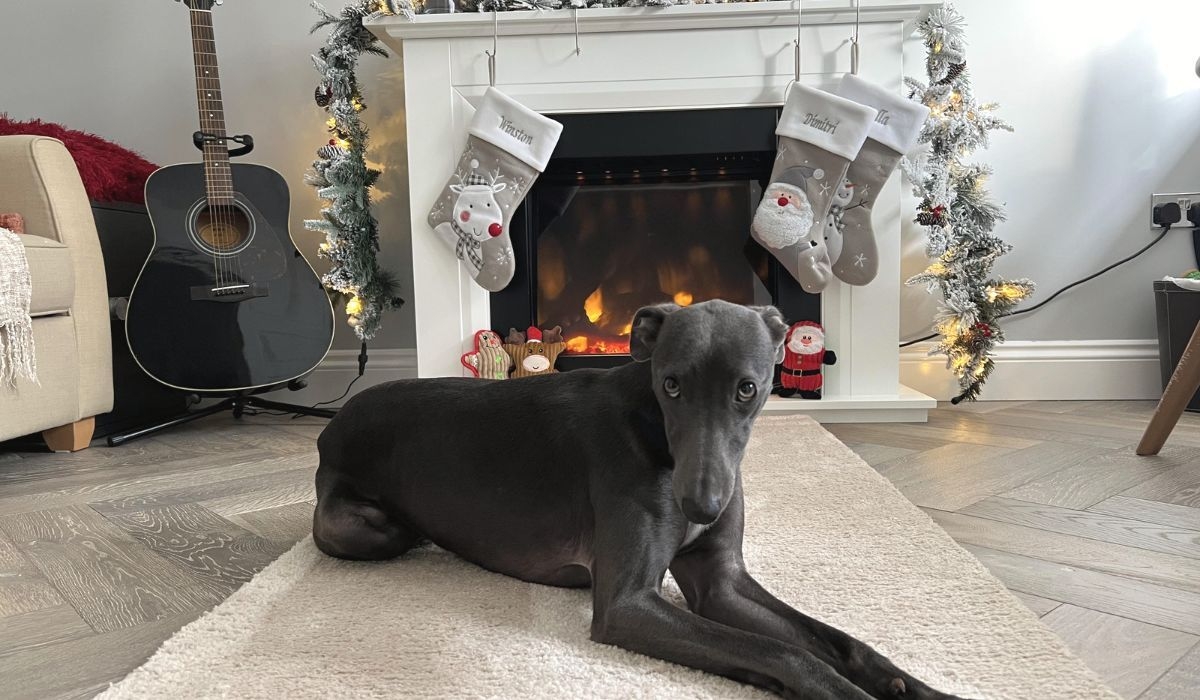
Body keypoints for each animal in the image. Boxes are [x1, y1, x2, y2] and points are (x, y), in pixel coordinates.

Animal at [312, 301, 964, 700]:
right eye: (670, 383)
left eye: (747, 389)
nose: (701, 507)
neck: (656, 435)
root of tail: (331, 424)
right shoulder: (628, 604)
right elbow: (783, 652)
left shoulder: (720, 582)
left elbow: (833, 638)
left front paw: (917, 687)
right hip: (361, 528)